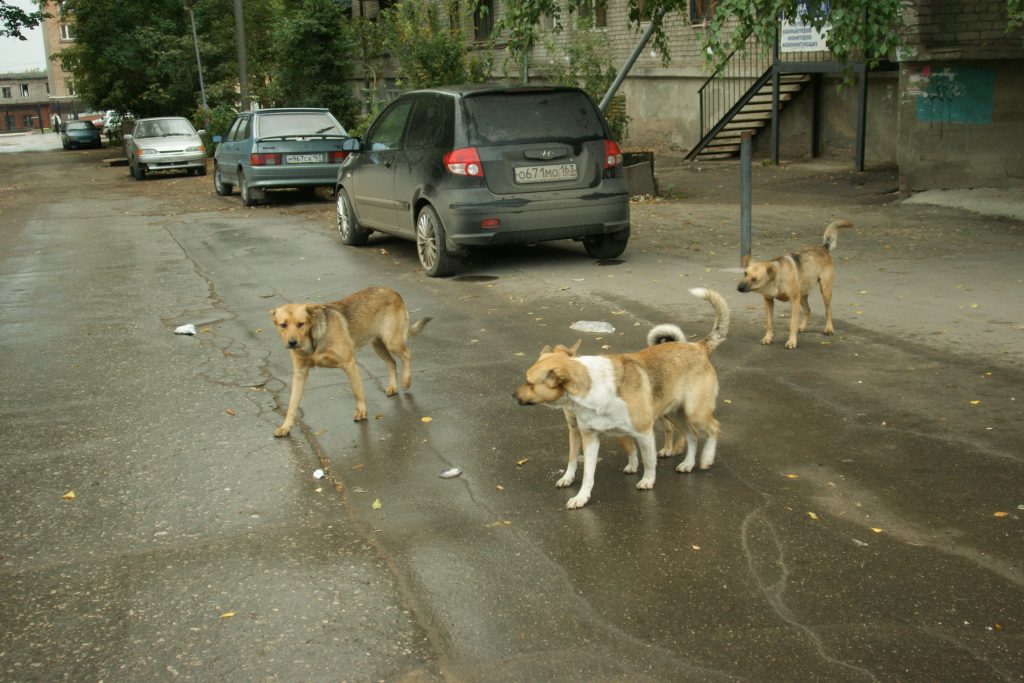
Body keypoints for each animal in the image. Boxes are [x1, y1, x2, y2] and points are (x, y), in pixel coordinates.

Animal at [268, 286, 428, 438]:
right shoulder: (300, 374)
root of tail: (393, 291)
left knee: (407, 355)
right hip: (378, 344)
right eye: (283, 325)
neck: (313, 340)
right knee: (392, 363)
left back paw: (406, 380)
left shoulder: (349, 364)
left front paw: (362, 412)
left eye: (300, 324)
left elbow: (357, 392)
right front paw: (285, 427)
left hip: (392, 342)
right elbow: (292, 405)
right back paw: (393, 386)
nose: (292, 343)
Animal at [512, 288, 729, 507]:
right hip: (676, 414)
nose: (513, 395)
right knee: (692, 435)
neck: (591, 386)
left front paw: (648, 480)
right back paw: (688, 463)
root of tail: (698, 346)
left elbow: (649, 461)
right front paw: (581, 497)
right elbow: (588, 472)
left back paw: (706, 458)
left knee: (714, 428)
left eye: (529, 383)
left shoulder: (643, 432)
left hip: (694, 413)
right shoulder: (589, 436)